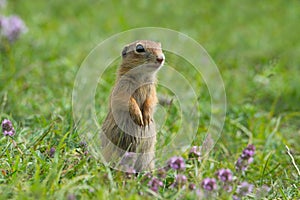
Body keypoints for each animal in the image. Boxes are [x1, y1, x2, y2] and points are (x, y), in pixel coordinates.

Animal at [101, 39, 164, 171]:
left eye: (160, 47)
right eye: (139, 49)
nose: (161, 58)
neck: (142, 76)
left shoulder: (152, 90)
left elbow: (151, 100)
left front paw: (147, 117)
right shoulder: (122, 88)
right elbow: (126, 100)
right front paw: (138, 116)